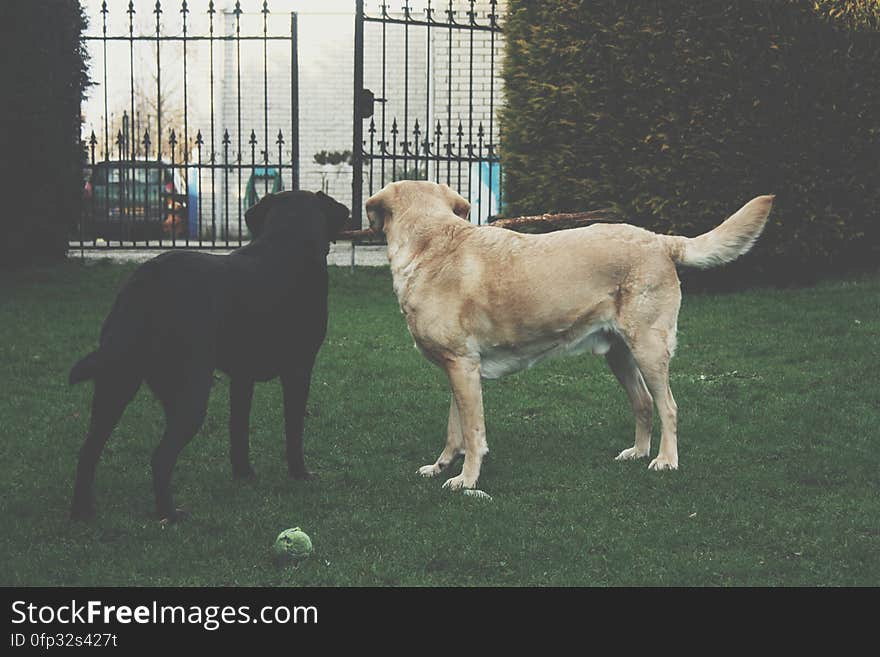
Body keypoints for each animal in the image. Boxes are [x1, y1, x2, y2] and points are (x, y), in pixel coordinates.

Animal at [69, 191, 350, 524]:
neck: (288, 241)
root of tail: (148, 280)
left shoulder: (242, 376)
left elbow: (238, 427)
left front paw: (244, 473)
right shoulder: (298, 369)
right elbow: (293, 428)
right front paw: (300, 473)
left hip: (117, 381)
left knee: (88, 450)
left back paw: (82, 511)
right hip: (191, 389)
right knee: (160, 457)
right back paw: (169, 514)